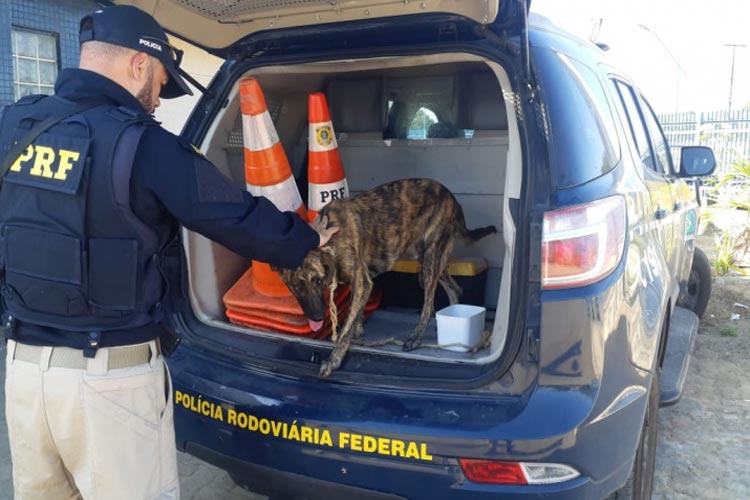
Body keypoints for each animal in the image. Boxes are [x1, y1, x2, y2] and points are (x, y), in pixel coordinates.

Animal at [276, 178, 500, 376]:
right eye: (296, 287)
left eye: (319, 281)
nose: (316, 317)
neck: (328, 238)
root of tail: (453, 199)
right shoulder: (360, 283)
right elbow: (354, 315)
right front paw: (357, 331)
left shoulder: (362, 282)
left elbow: (346, 326)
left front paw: (334, 359)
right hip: (431, 256)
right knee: (455, 289)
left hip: (430, 258)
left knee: (429, 304)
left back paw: (416, 338)